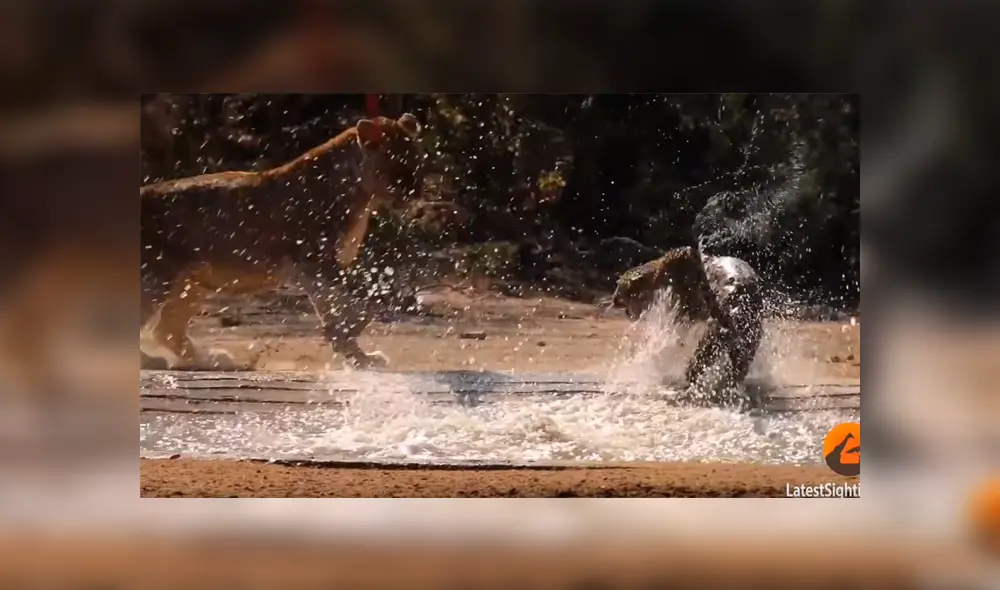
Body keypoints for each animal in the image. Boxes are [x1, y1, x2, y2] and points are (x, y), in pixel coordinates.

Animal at [140, 113, 425, 371]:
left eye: (418, 165)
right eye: (398, 168)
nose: (417, 195)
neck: (362, 198)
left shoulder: (322, 268)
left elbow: (340, 307)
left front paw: (358, 355)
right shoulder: (314, 263)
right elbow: (361, 302)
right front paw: (347, 340)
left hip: (190, 284)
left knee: (166, 330)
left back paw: (214, 361)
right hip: (157, 278)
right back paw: (155, 361)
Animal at [609, 245, 764, 405]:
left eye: (619, 288)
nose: (614, 299)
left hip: (711, 341)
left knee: (697, 368)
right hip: (745, 345)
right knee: (735, 372)